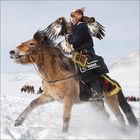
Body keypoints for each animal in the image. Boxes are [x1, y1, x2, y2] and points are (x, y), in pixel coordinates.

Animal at [9, 34, 138, 132]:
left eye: (31, 44)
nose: (12, 52)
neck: (57, 75)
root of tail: (115, 83)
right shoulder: (49, 96)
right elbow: (32, 103)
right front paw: (18, 121)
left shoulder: (68, 100)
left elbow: (66, 118)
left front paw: (63, 134)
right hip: (95, 103)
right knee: (106, 116)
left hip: (111, 101)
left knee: (120, 117)